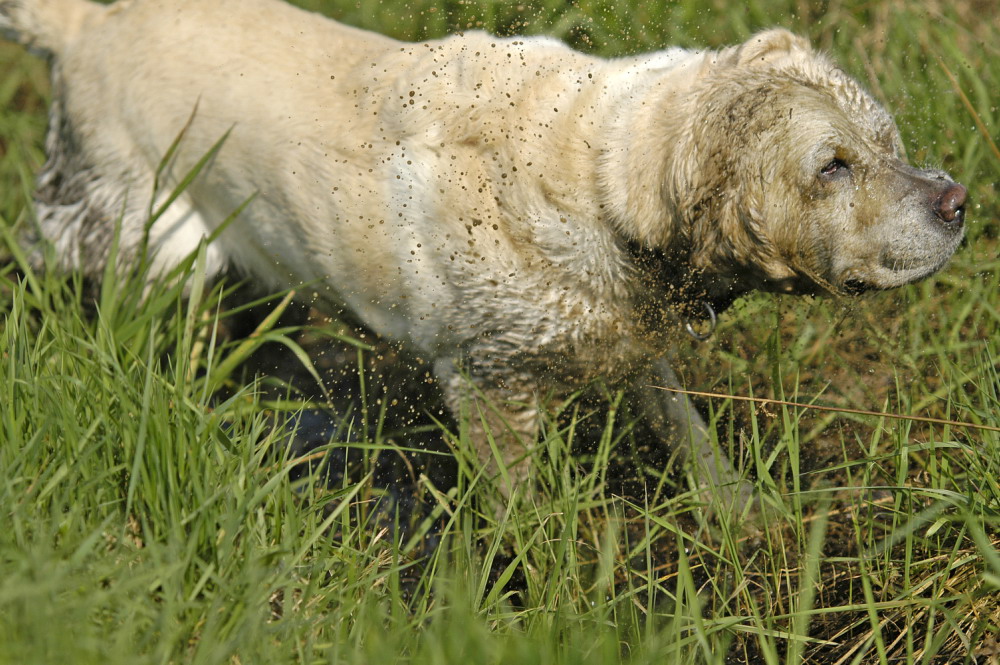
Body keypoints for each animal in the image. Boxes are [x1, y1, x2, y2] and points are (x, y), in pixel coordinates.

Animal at [1, 0, 968, 508]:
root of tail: (79, 26)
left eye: (886, 142)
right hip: (133, 231)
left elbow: (683, 425)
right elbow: (526, 515)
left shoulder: (631, 339)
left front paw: (746, 517)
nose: (958, 200)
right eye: (832, 167)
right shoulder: (490, 384)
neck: (604, 179)